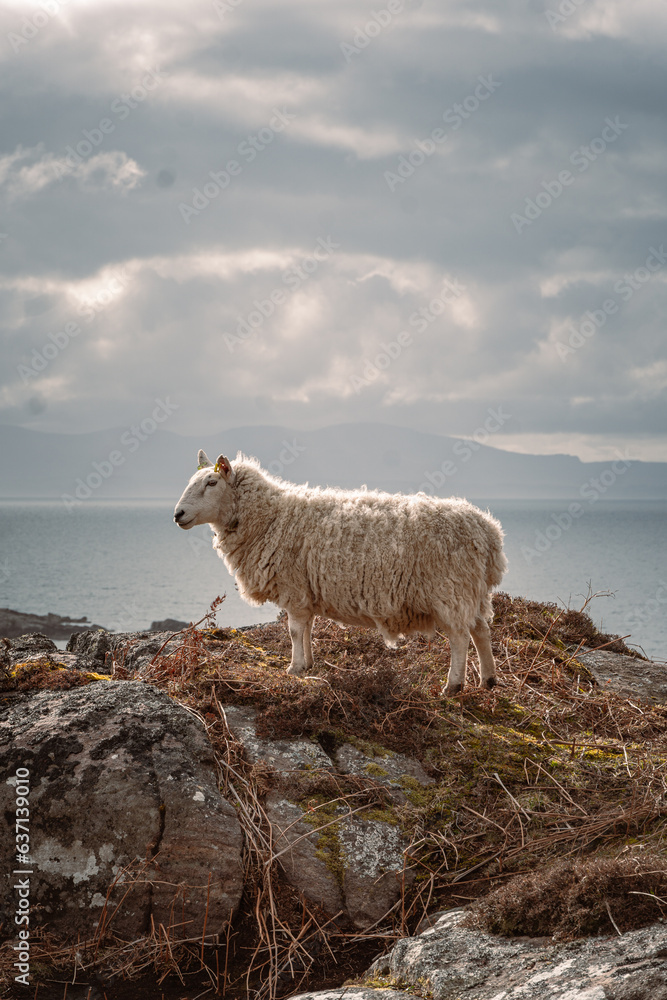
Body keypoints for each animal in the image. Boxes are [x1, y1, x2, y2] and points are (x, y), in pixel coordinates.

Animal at [173, 450, 508, 695]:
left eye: (212, 483)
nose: (177, 514)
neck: (270, 516)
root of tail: (489, 532)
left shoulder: (293, 586)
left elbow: (294, 631)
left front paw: (294, 668)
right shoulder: (305, 591)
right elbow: (307, 629)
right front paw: (308, 664)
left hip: (451, 588)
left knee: (460, 636)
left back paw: (453, 685)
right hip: (471, 590)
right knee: (481, 630)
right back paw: (488, 680)